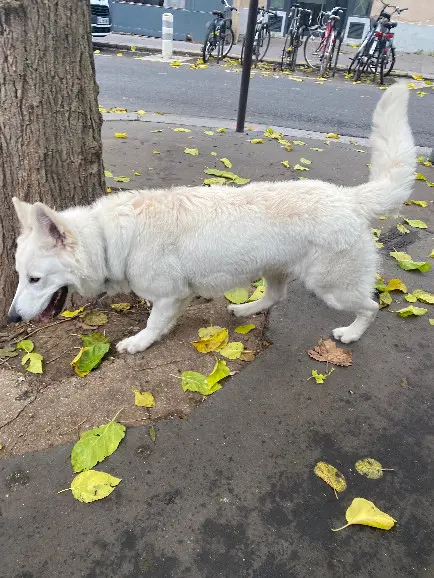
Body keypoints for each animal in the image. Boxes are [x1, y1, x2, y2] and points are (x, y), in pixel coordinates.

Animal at [7, 84, 414, 352]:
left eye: (34, 279)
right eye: (20, 277)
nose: (11, 319)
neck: (108, 237)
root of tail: (348, 197)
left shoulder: (170, 295)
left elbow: (154, 323)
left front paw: (138, 343)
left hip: (331, 287)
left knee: (371, 307)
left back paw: (352, 333)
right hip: (276, 268)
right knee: (275, 296)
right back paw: (246, 308)